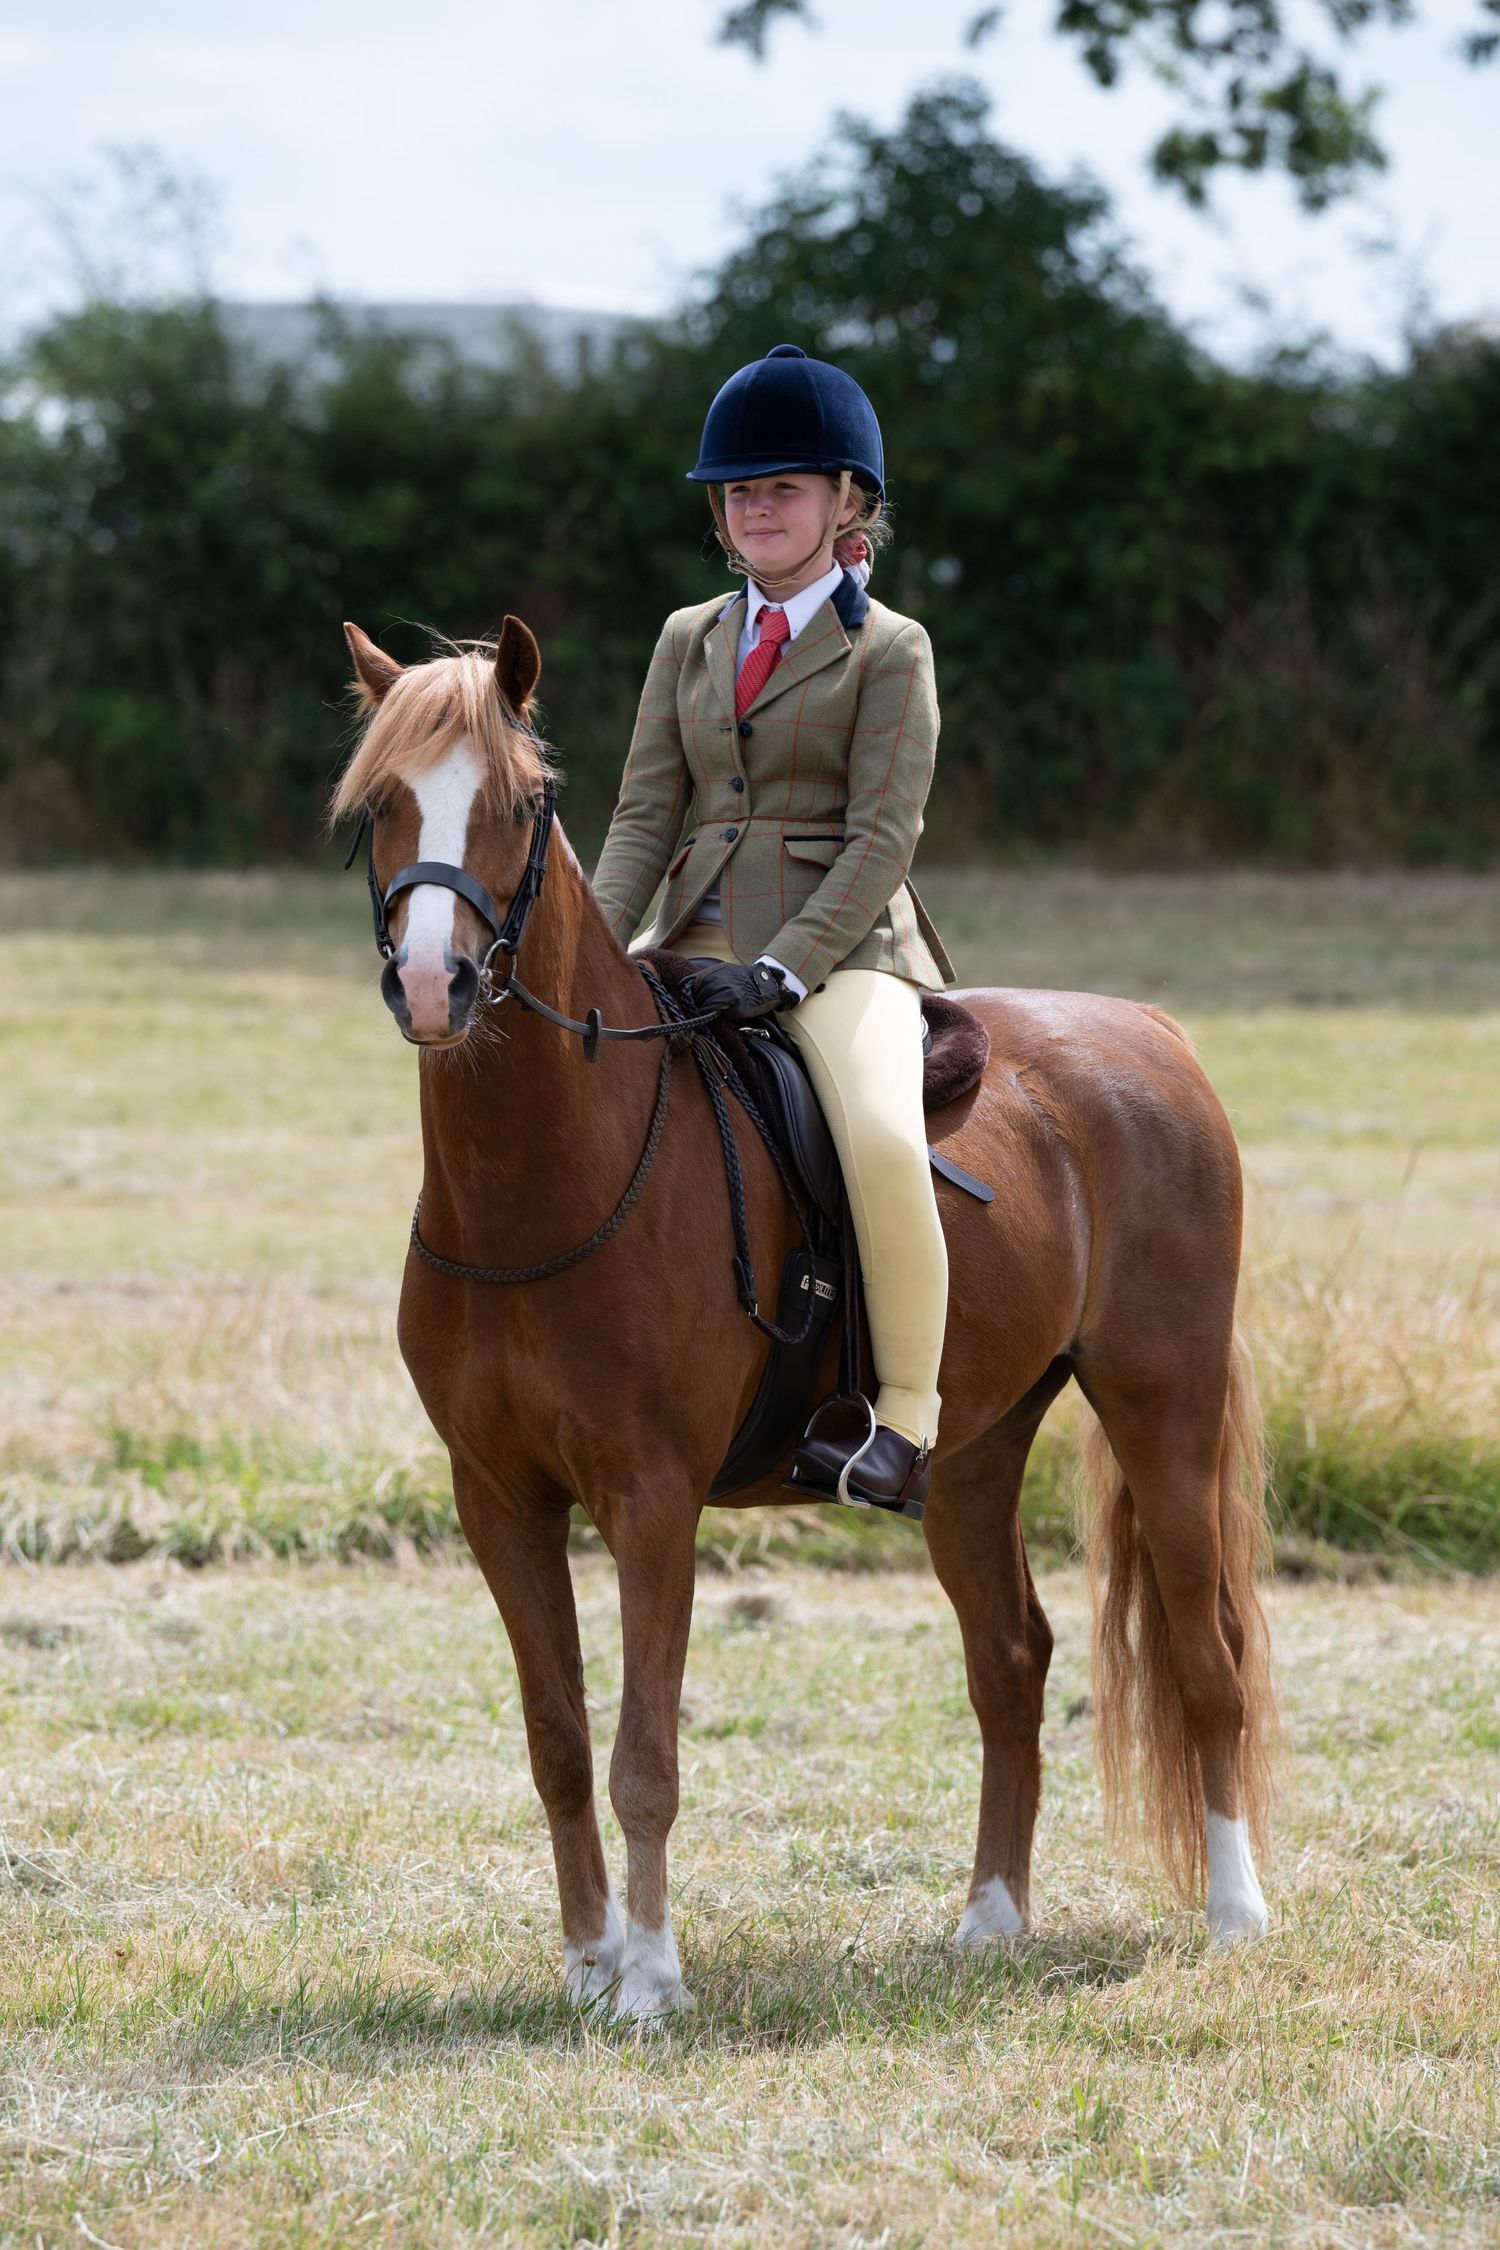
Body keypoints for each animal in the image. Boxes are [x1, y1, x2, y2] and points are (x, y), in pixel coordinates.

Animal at [331, 615, 1276, 2022]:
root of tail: (1153, 1034)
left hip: (1165, 1407)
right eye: (384, 803)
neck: (545, 1178)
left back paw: (1235, 1916)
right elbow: (558, 1738)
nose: (436, 986)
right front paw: (586, 1964)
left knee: (1207, 1657)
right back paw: (991, 1920)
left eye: (514, 805)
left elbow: (644, 1752)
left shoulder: (652, 1499)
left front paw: (652, 1985)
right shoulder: (497, 1496)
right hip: (973, 1453)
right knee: (1011, 1657)